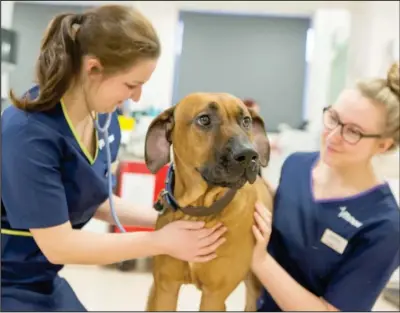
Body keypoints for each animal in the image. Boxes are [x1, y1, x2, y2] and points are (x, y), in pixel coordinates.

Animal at [145, 92, 276, 310]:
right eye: (204, 119)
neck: (201, 209)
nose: (249, 154)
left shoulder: (214, 296)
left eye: (246, 121)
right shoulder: (165, 287)